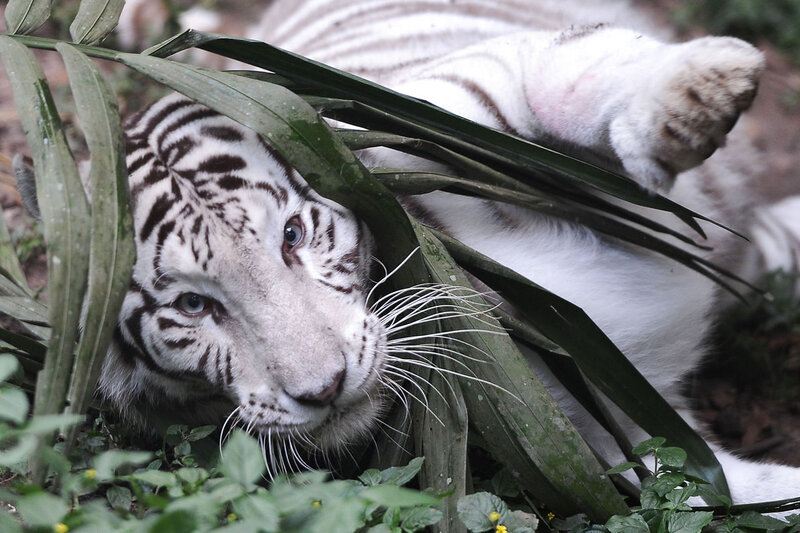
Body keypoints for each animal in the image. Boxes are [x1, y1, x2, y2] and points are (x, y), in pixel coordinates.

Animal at [60, 0, 800, 505]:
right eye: (194, 305)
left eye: (292, 237)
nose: (323, 388)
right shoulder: (596, 423)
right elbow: (709, 482)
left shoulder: (462, 118)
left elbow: (562, 78)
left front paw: (699, 96)